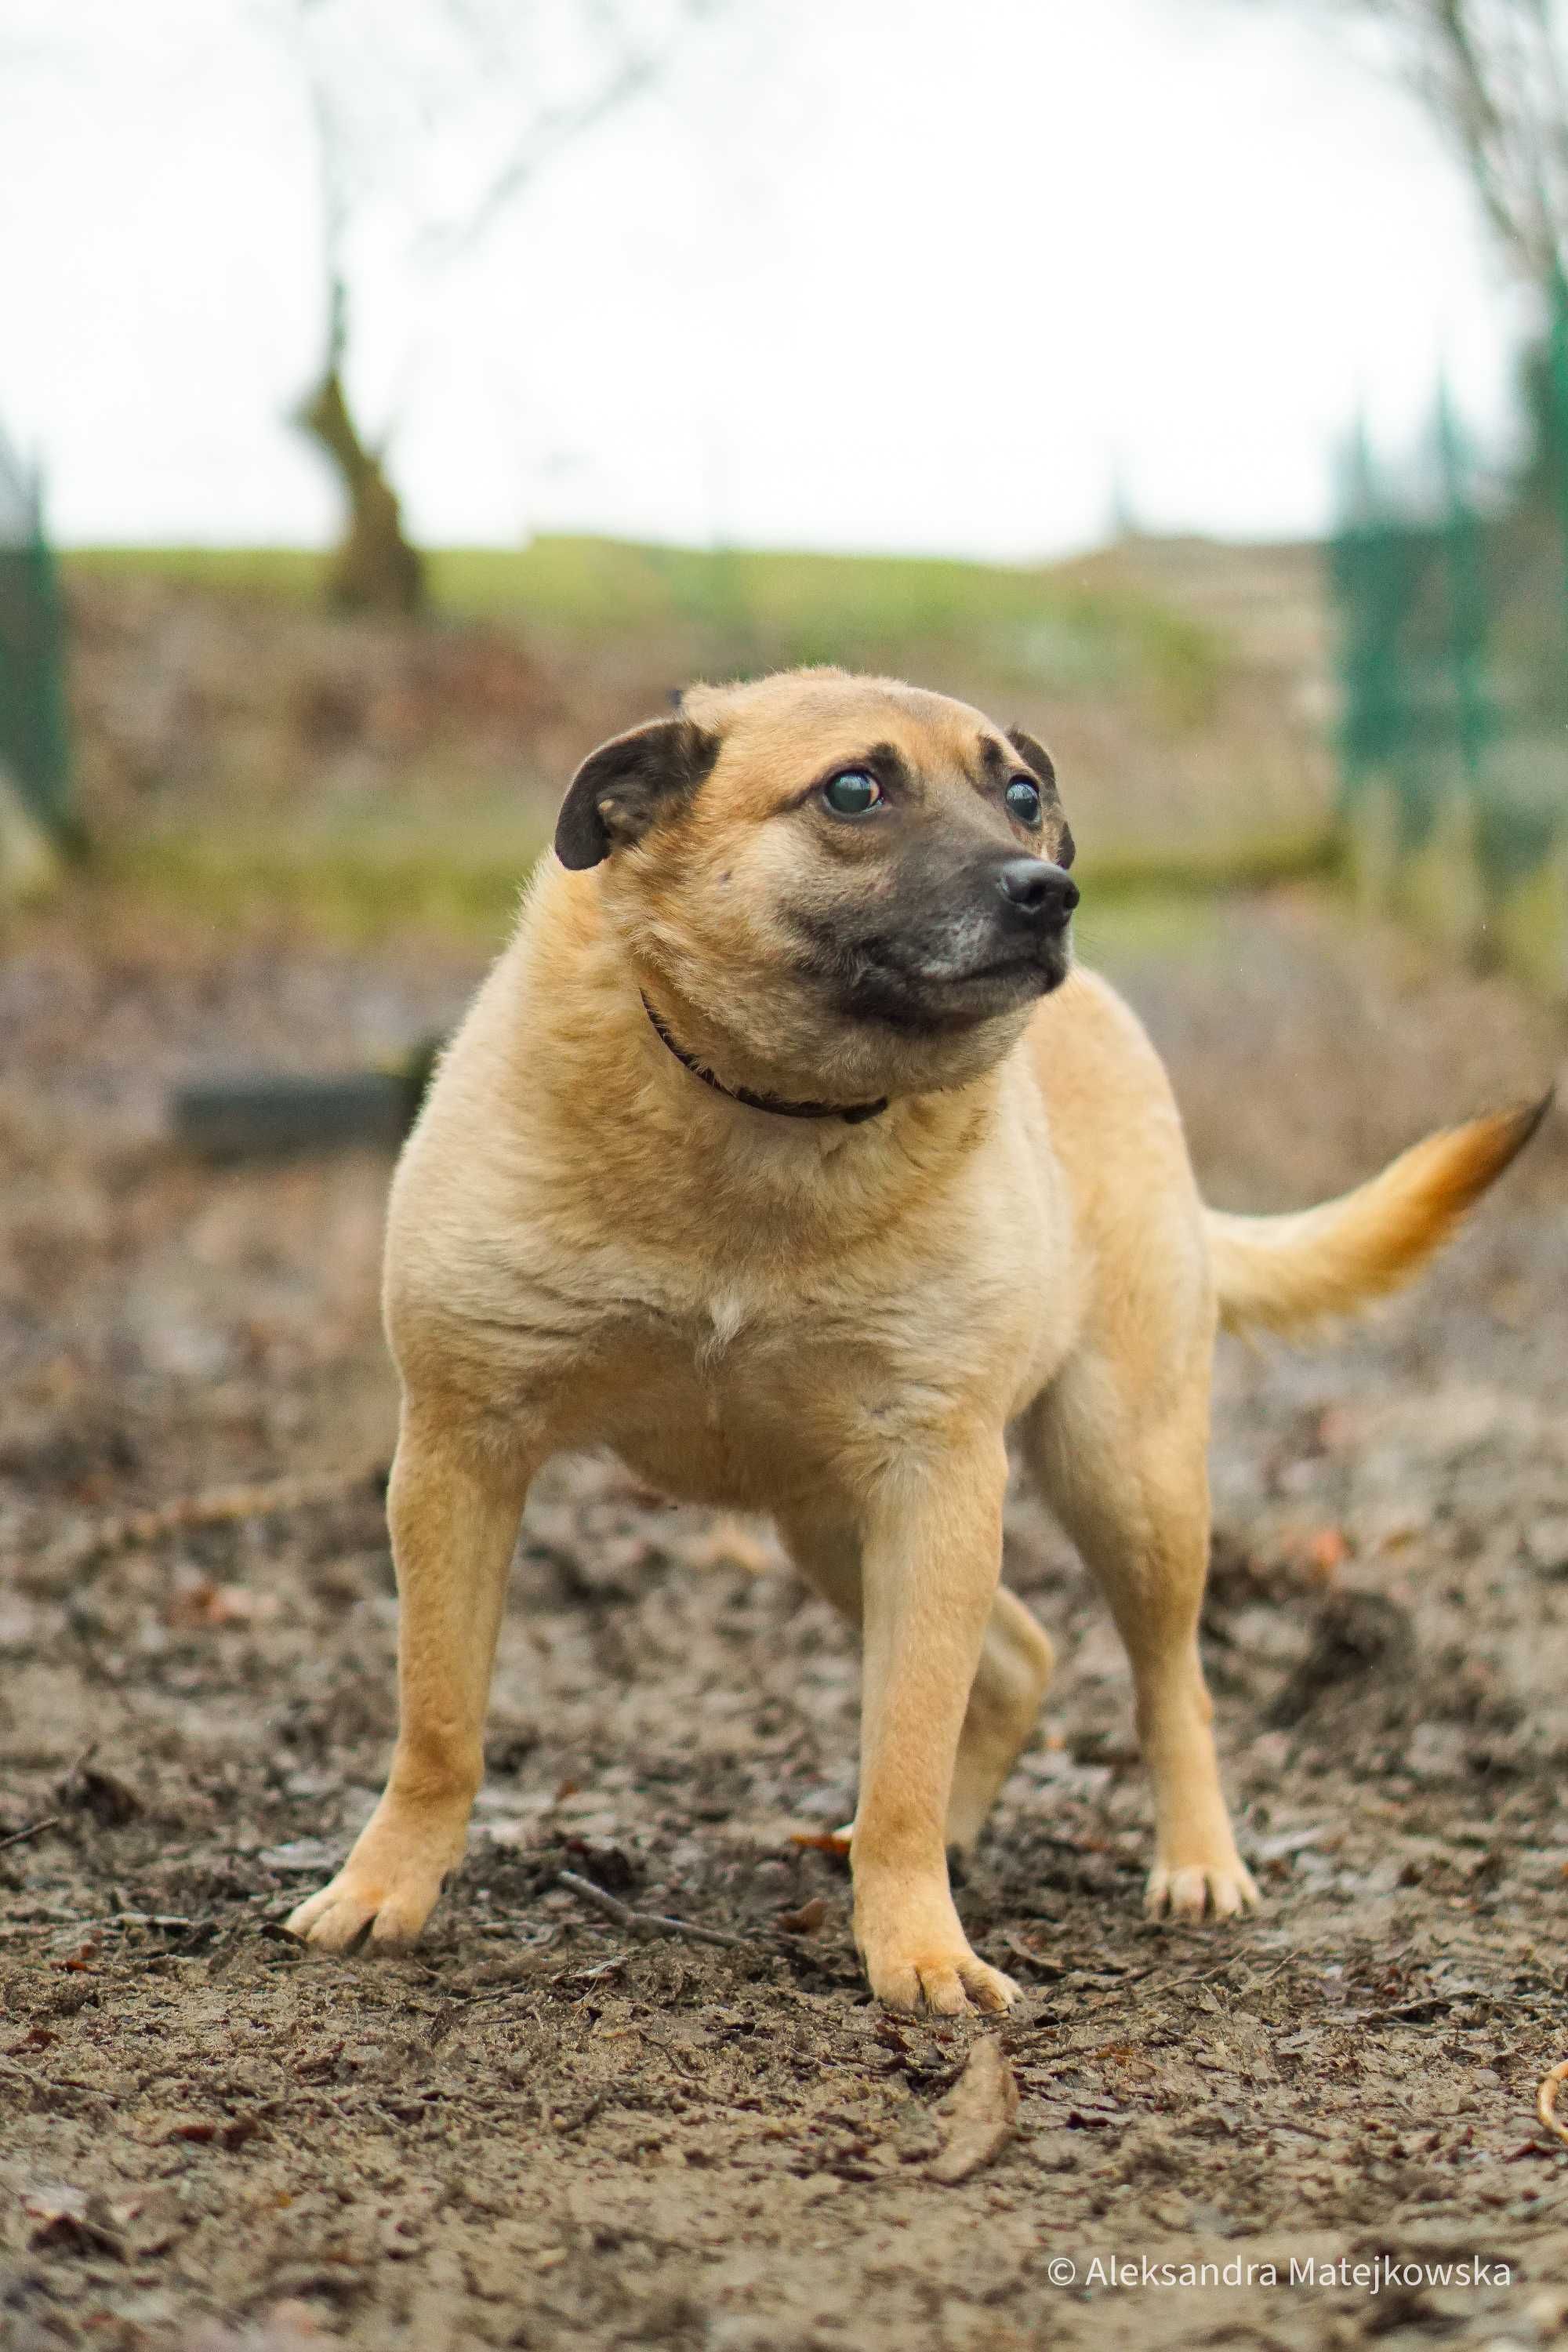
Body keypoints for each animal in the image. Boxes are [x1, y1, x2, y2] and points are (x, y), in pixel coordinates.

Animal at [281, 673, 1542, 2013]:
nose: (1049, 891)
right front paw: (385, 1889)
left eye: (1024, 795)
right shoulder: (462, 1448)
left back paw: (1195, 1864)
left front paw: (919, 1947)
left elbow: (906, 1754)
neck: (771, 1113)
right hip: (833, 1524)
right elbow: (438, 1721)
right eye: (855, 789)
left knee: (1170, 1685)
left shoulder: (938, 1479)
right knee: (1022, 1660)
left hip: (1121, 1480)